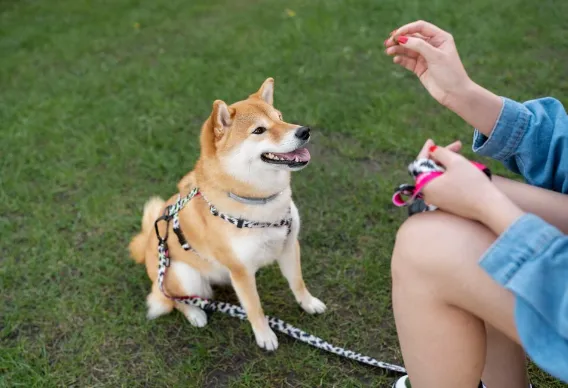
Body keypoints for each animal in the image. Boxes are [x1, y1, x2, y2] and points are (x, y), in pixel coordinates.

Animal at [128, 77, 324, 350]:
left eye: (280, 117)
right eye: (259, 130)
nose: (304, 131)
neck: (261, 201)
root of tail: (147, 242)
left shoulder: (288, 244)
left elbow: (297, 282)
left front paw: (309, 303)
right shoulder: (240, 271)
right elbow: (254, 307)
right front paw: (265, 336)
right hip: (184, 276)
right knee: (174, 300)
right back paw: (195, 314)